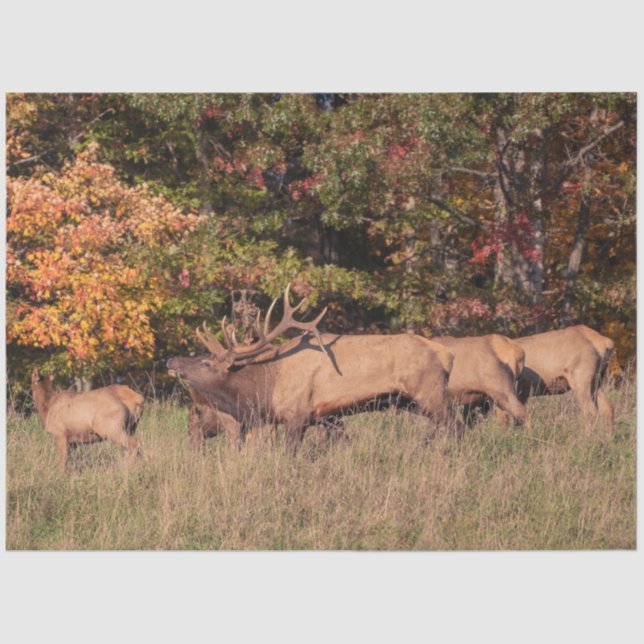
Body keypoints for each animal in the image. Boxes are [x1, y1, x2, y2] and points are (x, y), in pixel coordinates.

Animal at [167, 284, 462, 453]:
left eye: (206, 362)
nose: (171, 361)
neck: (267, 387)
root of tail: (447, 355)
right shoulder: (327, 417)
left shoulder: (297, 415)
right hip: (412, 401)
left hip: (430, 393)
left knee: (455, 426)